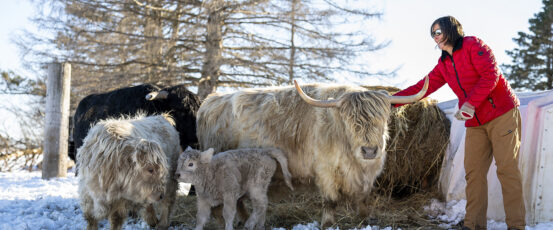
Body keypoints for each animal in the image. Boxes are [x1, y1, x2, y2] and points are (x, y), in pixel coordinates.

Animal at [196, 76, 430, 227]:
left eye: (382, 119)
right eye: (350, 121)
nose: (370, 150)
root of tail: (209, 102)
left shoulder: (365, 176)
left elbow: (363, 200)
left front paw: (365, 221)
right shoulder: (326, 171)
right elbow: (331, 201)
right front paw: (328, 224)